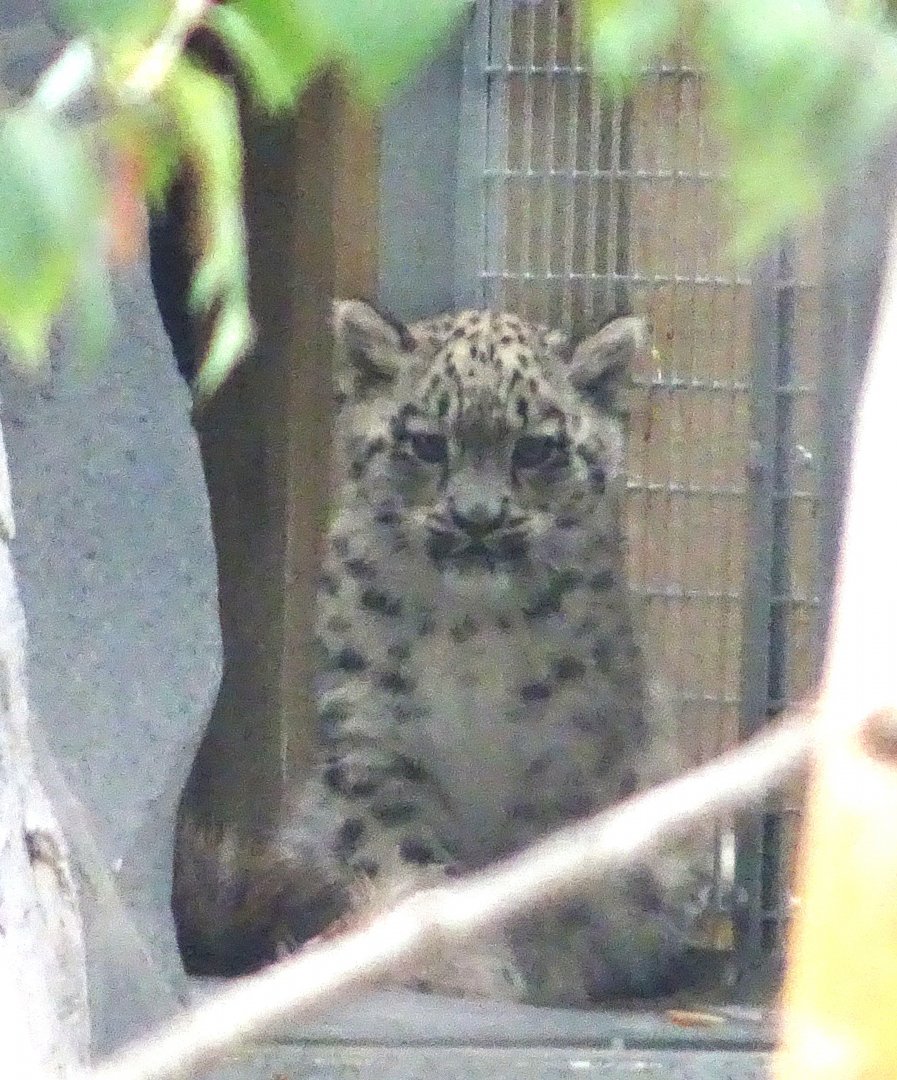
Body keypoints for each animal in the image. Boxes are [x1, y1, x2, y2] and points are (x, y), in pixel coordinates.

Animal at [172, 299, 714, 1006]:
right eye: (427, 442)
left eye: (535, 448)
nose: (476, 520)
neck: (470, 633)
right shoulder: (378, 743)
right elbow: (407, 859)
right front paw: (455, 965)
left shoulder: (568, 754)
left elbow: (541, 869)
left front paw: (538, 965)